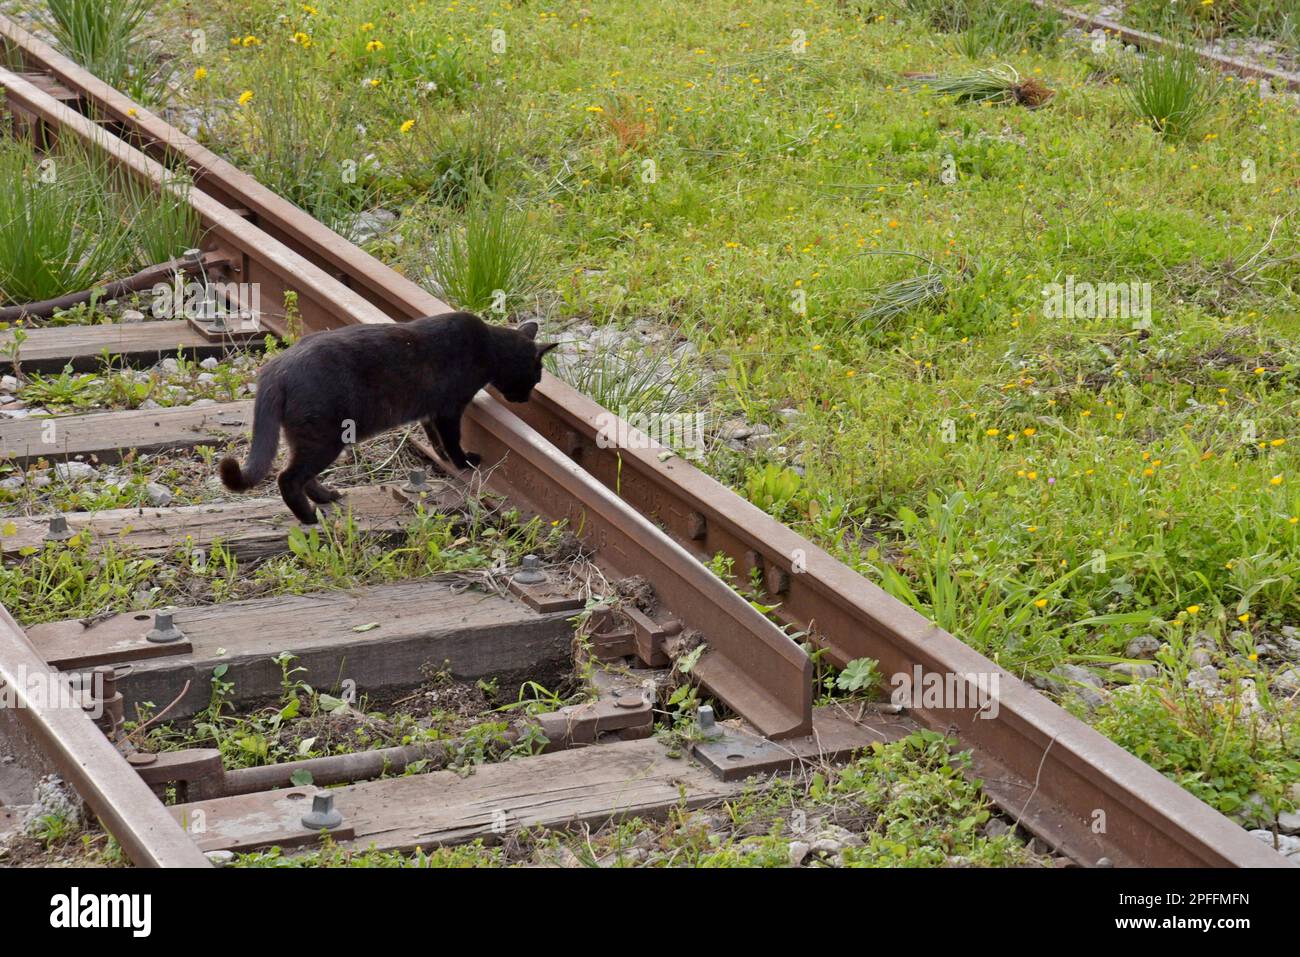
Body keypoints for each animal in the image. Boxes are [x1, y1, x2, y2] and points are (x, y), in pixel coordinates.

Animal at [218, 314, 553, 522]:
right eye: (535, 379)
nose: (526, 398)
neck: (489, 348)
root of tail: (277, 369)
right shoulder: (450, 408)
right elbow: (452, 439)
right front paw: (463, 462)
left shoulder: (431, 411)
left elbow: (435, 437)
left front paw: (443, 457)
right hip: (325, 439)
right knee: (288, 477)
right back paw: (309, 516)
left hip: (309, 439)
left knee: (302, 475)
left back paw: (326, 497)